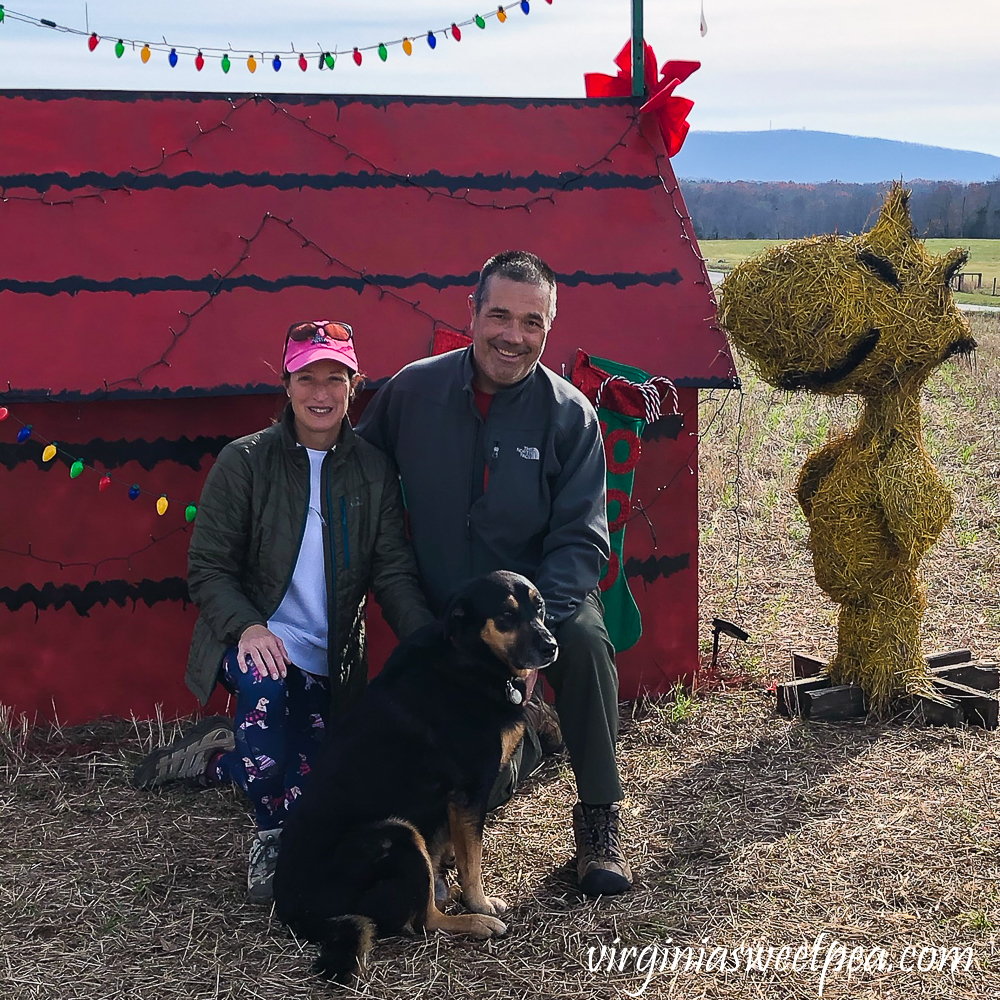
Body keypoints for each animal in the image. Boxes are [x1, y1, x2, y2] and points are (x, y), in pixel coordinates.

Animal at [270, 572, 560, 984]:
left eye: (540, 608)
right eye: (506, 615)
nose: (551, 647)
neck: (469, 657)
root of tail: (296, 912)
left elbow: (456, 846)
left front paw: (450, 867)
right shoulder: (469, 791)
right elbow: (472, 862)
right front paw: (479, 902)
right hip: (397, 834)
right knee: (423, 921)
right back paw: (474, 922)